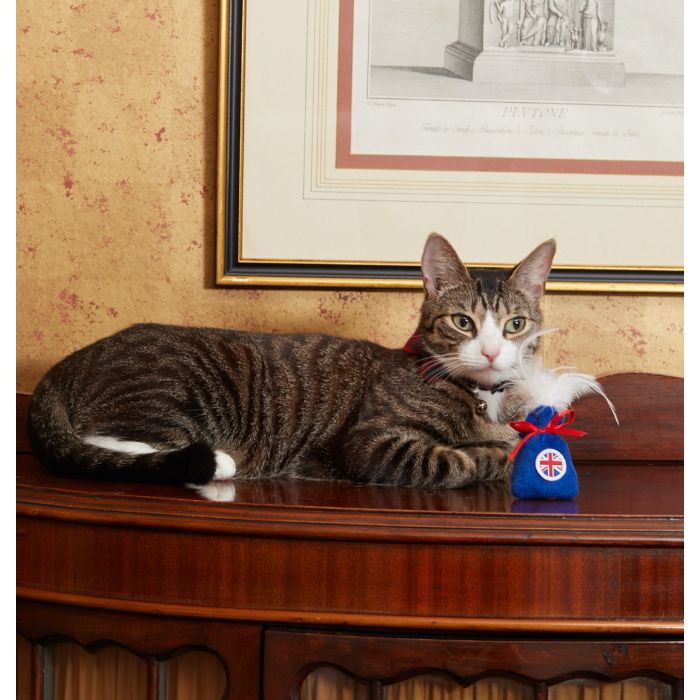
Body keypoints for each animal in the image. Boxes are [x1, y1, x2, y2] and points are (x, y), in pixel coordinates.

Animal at [28, 232, 556, 490]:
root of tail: (73, 360)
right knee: (107, 445)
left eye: (515, 325)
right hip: (175, 389)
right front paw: (498, 456)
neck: (482, 400)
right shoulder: (371, 442)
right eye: (463, 322)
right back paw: (216, 462)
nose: (491, 351)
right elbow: (453, 462)